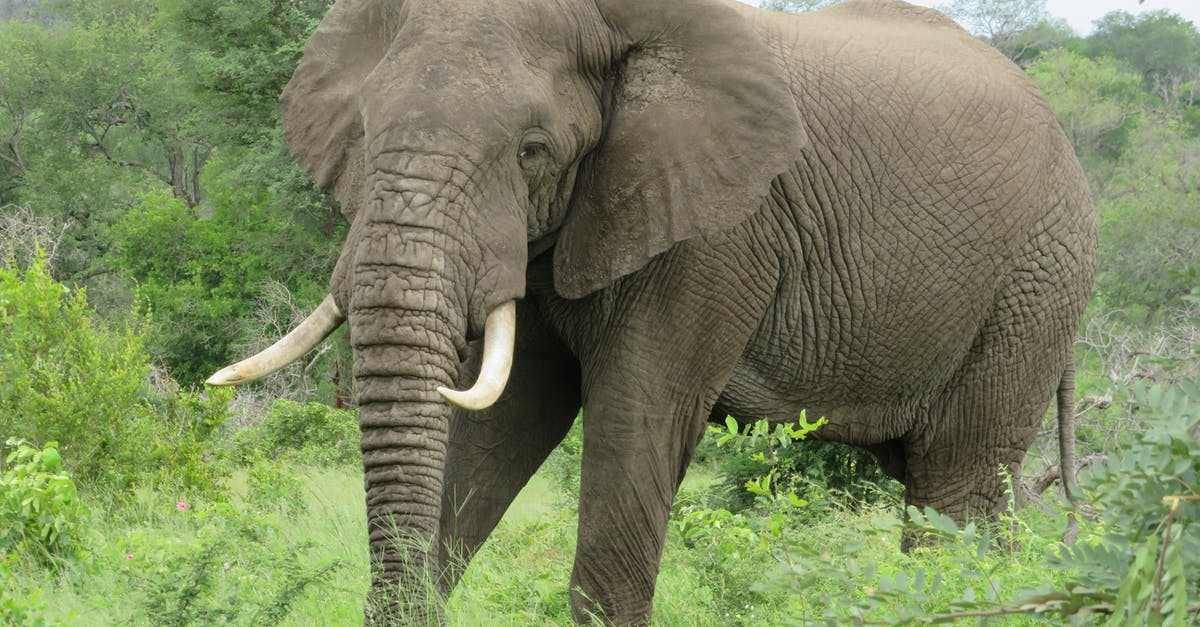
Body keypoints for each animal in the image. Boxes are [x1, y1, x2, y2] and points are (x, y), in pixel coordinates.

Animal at [208, 0, 1099, 619]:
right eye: (363, 132)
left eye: (532, 151)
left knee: (954, 487)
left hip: (1033, 285)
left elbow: (636, 418)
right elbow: (498, 424)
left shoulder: (716, 233)